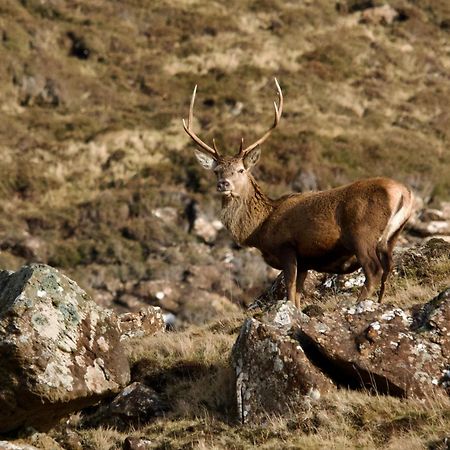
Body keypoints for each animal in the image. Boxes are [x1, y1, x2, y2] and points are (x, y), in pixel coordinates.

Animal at [181, 78, 414, 310]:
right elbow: (299, 295)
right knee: (388, 271)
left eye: (240, 170)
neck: (261, 228)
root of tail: (403, 193)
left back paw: (357, 305)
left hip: (363, 233)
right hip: (392, 237)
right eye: (216, 171)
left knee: (373, 271)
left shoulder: (287, 247)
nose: (223, 184)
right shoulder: (305, 261)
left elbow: (291, 291)